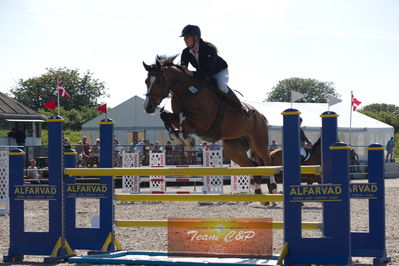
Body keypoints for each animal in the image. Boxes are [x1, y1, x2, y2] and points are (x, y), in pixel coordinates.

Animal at [143, 55, 278, 203]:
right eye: (146, 81)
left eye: (158, 81)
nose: (148, 107)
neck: (185, 90)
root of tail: (261, 116)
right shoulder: (183, 119)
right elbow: (167, 117)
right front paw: (179, 138)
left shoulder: (205, 120)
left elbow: (184, 114)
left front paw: (187, 140)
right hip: (234, 150)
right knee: (252, 165)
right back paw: (260, 193)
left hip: (259, 143)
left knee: (268, 162)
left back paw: (273, 189)